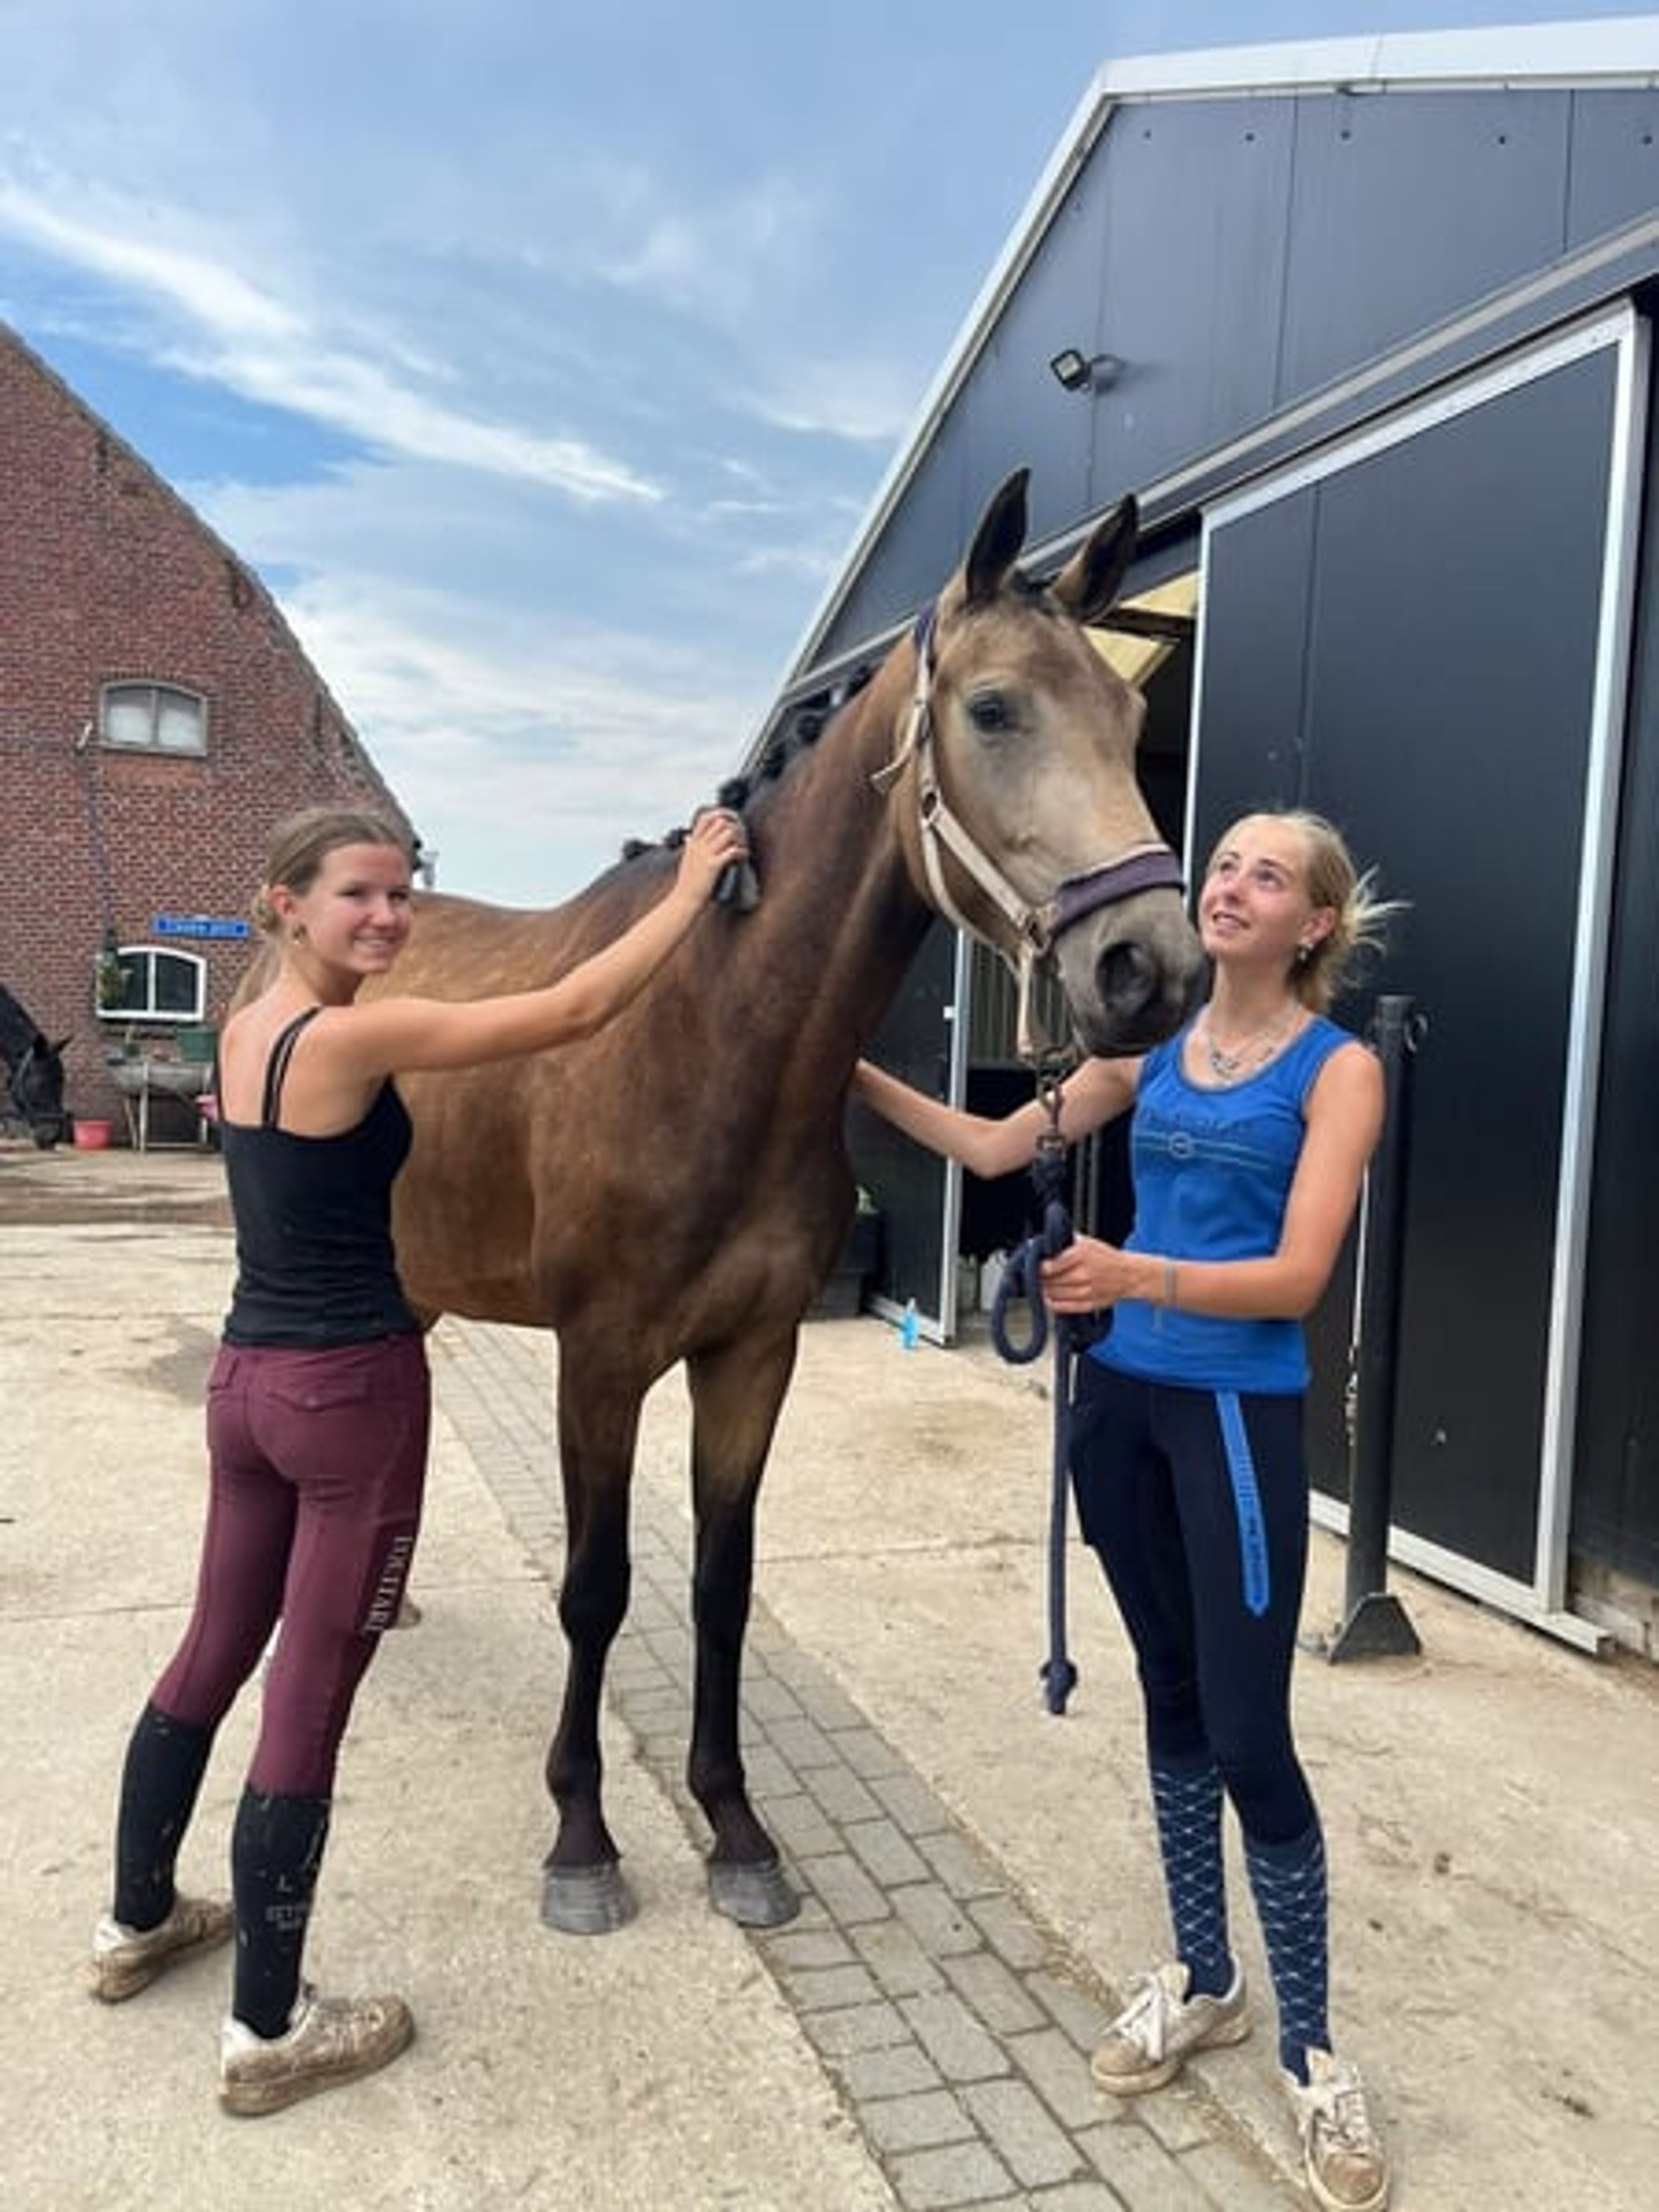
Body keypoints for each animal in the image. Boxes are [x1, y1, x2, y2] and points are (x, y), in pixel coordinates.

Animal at [364, 469, 1204, 1933]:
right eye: (994, 709)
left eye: (1136, 716)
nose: (1153, 967)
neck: (708, 1040)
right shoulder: (600, 1359)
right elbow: (597, 1589)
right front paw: (581, 1837)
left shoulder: (752, 1355)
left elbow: (721, 1583)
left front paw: (737, 1826)